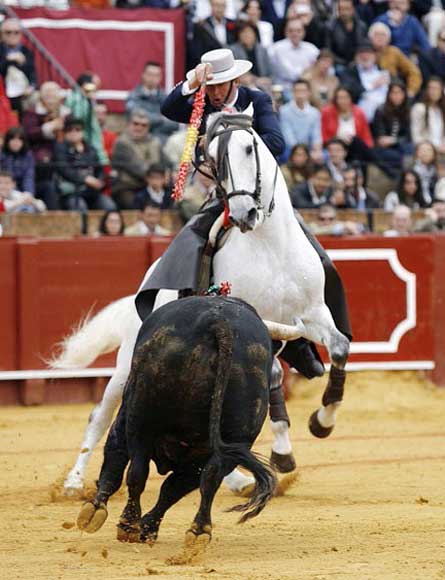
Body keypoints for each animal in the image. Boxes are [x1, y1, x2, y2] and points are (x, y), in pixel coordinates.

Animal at [53, 112, 348, 494]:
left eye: (250, 147)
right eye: (213, 160)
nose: (244, 213)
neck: (270, 246)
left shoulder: (313, 315)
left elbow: (339, 349)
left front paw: (322, 422)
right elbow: (271, 378)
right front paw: (283, 453)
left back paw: (236, 479)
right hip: (128, 362)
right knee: (99, 414)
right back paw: (73, 482)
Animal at [77, 296, 276, 548]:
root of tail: (217, 321)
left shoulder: (123, 421)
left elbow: (115, 462)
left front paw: (96, 512)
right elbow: (173, 489)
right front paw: (148, 527)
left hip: (141, 419)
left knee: (137, 471)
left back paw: (128, 524)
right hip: (238, 435)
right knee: (209, 477)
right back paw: (199, 531)